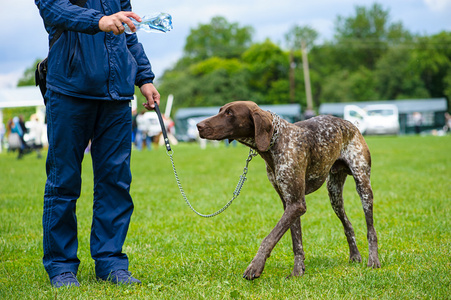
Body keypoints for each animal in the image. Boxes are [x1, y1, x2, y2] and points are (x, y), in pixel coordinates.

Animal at [198, 100, 382, 278]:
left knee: (371, 230)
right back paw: (355, 255)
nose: (198, 125)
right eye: (221, 110)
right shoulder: (290, 203)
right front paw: (298, 271)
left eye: (229, 113)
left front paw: (255, 266)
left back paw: (373, 260)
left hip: (363, 187)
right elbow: (296, 241)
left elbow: (269, 238)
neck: (276, 141)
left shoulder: (296, 203)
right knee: (348, 225)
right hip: (334, 194)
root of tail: (351, 125)